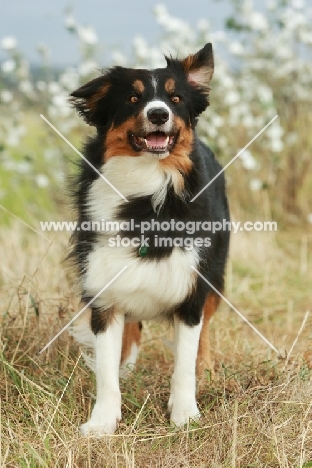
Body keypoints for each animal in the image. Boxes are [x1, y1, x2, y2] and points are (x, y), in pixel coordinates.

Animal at [69, 44, 230, 436]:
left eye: (175, 98)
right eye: (132, 98)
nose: (158, 113)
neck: (147, 187)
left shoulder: (192, 289)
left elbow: (184, 364)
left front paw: (185, 415)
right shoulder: (103, 289)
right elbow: (106, 369)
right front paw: (102, 422)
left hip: (215, 276)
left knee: (204, 334)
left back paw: (206, 369)